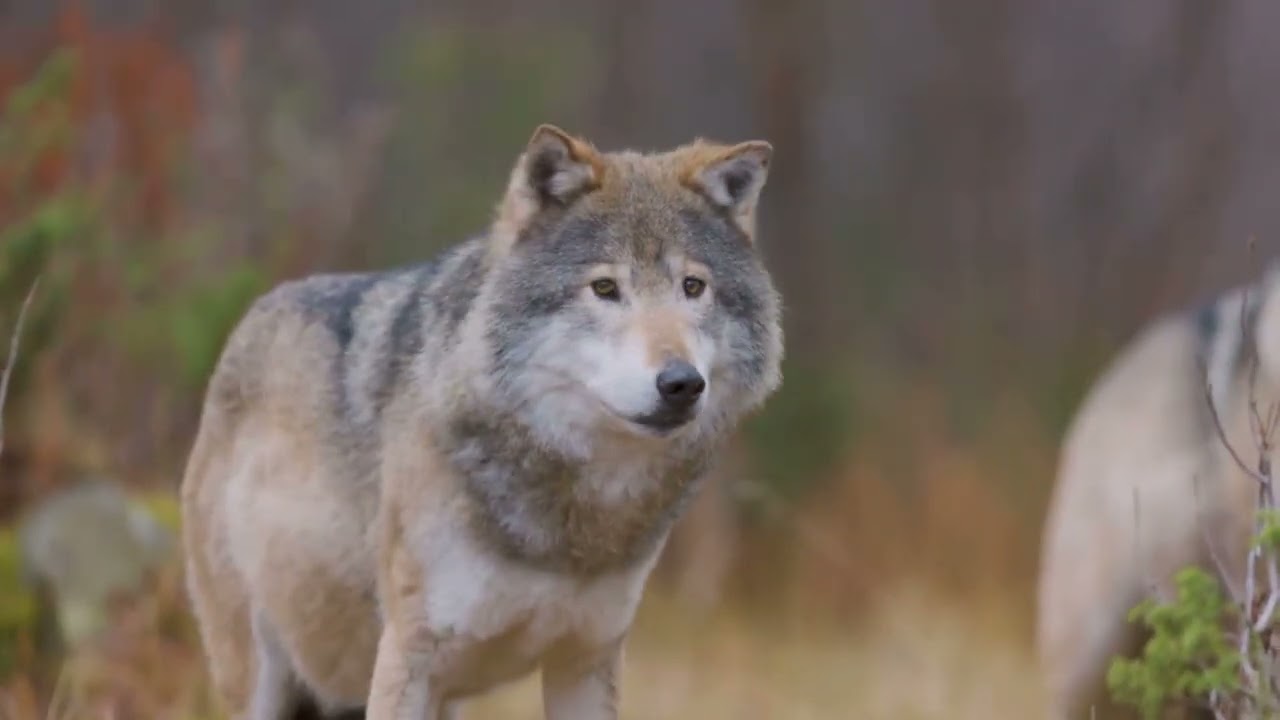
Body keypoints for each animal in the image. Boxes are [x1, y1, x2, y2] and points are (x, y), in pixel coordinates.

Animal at [179, 124, 784, 720]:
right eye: (605, 289)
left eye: (693, 287)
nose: (681, 384)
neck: (570, 529)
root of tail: (250, 320)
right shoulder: (410, 655)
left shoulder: (586, 656)